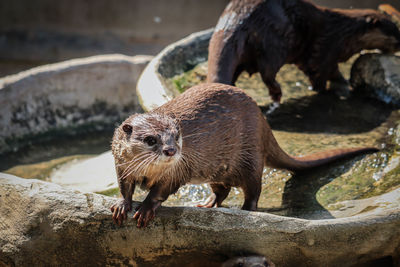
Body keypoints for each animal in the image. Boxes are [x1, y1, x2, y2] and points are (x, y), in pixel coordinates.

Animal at [110, 82, 378, 227]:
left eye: (176, 136)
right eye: (151, 139)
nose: (171, 150)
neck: (147, 172)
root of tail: (263, 122)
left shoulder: (177, 172)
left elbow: (160, 191)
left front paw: (145, 208)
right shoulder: (121, 166)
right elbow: (124, 187)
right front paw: (122, 205)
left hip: (250, 158)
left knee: (253, 190)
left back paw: (245, 210)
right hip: (217, 170)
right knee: (223, 189)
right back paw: (208, 204)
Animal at [206, 0, 400, 107]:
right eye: (394, 34)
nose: (399, 44)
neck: (343, 34)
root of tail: (235, 22)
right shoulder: (325, 50)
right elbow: (321, 74)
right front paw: (329, 89)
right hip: (275, 42)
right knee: (268, 72)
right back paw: (276, 94)